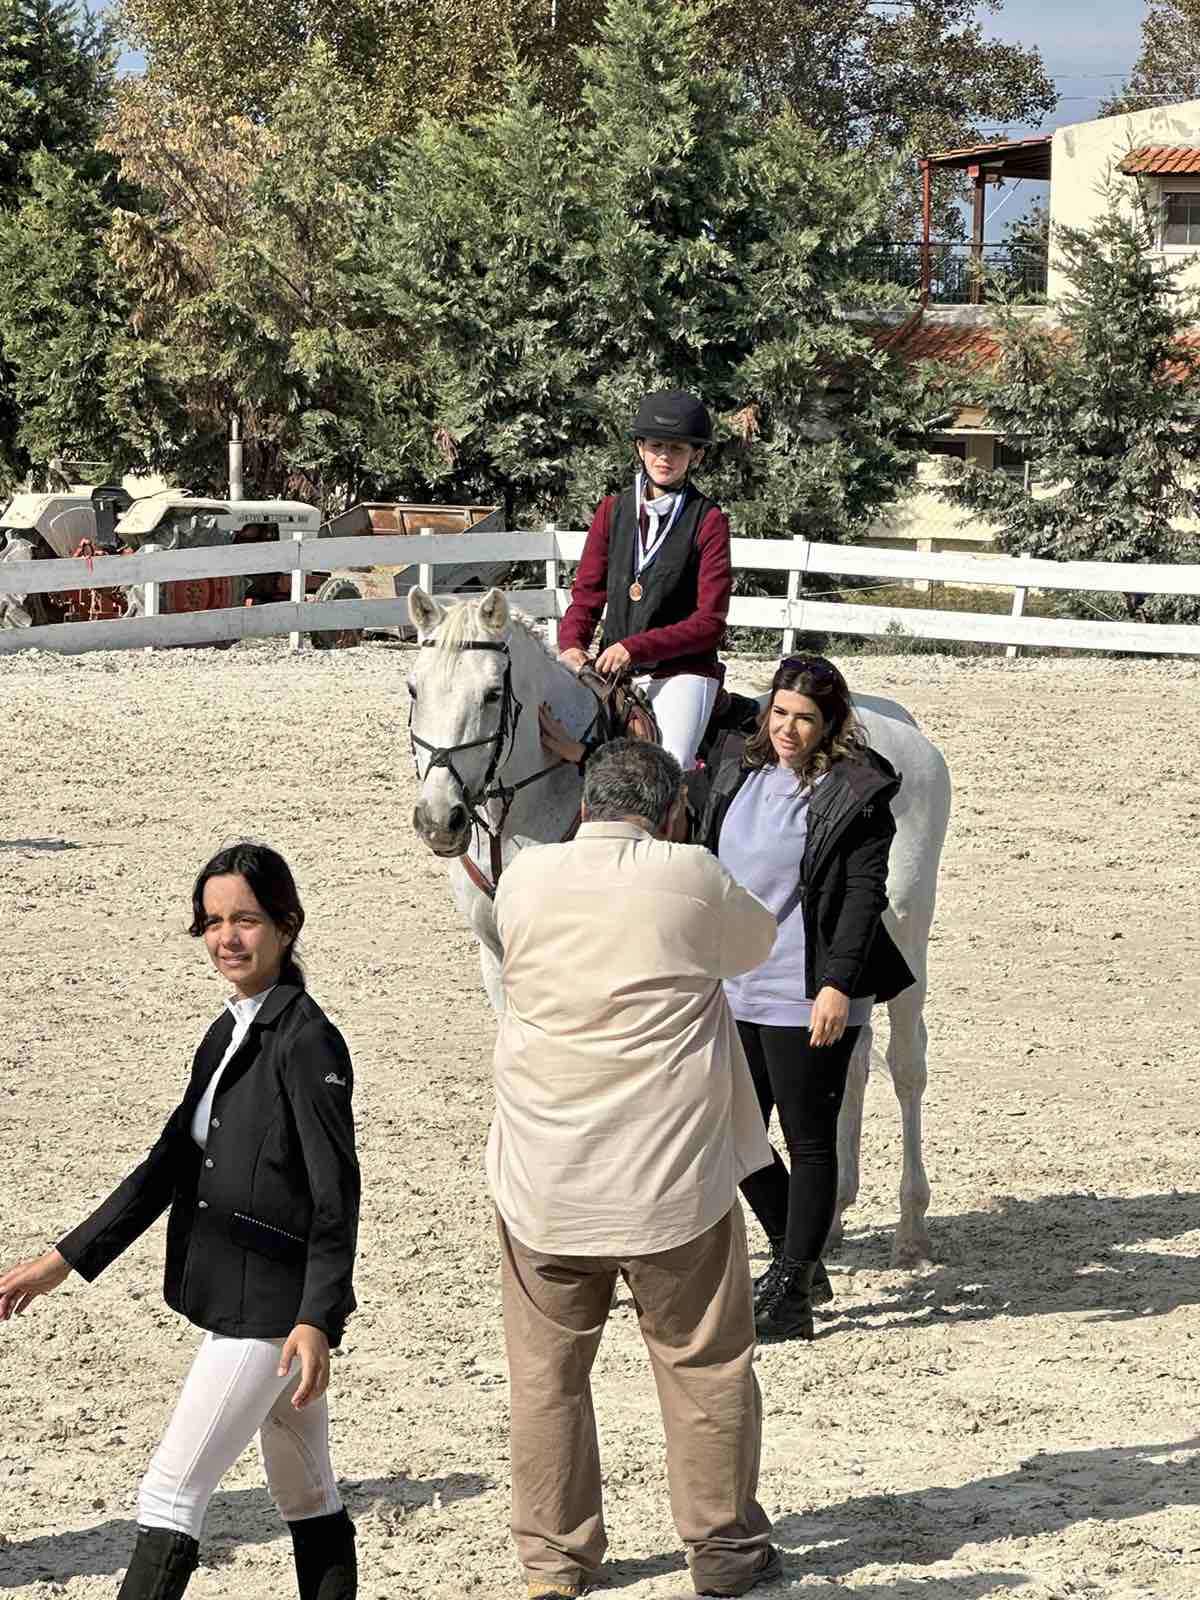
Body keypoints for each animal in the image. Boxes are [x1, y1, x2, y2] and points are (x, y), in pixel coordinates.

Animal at [405, 585, 951, 1267]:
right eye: (413, 688)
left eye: (489, 694)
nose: (439, 819)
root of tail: (899, 728)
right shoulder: (498, 955)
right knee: (850, 1058)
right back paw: (832, 1219)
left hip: (904, 935)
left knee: (906, 1064)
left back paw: (912, 1227)